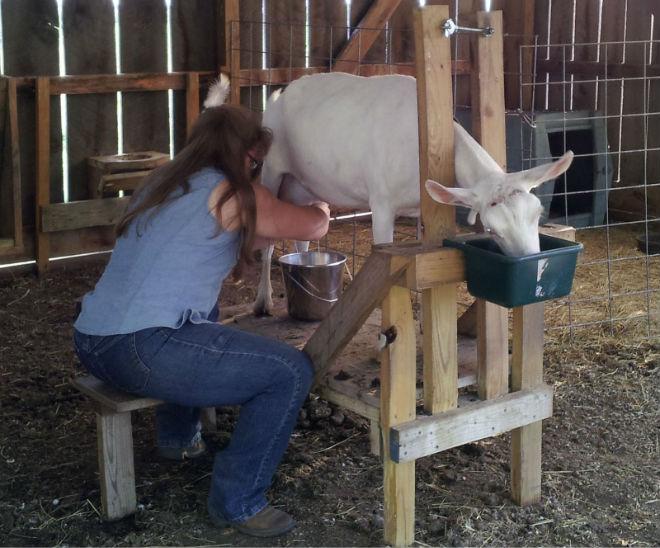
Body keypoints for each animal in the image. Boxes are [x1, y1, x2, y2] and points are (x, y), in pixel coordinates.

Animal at [204, 70, 576, 314]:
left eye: (537, 214)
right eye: (494, 229)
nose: (534, 266)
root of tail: (278, 97)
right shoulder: (381, 202)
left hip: (307, 185)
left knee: (301, 239)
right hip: (271, 169)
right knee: (267, 240)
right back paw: (263, 301)